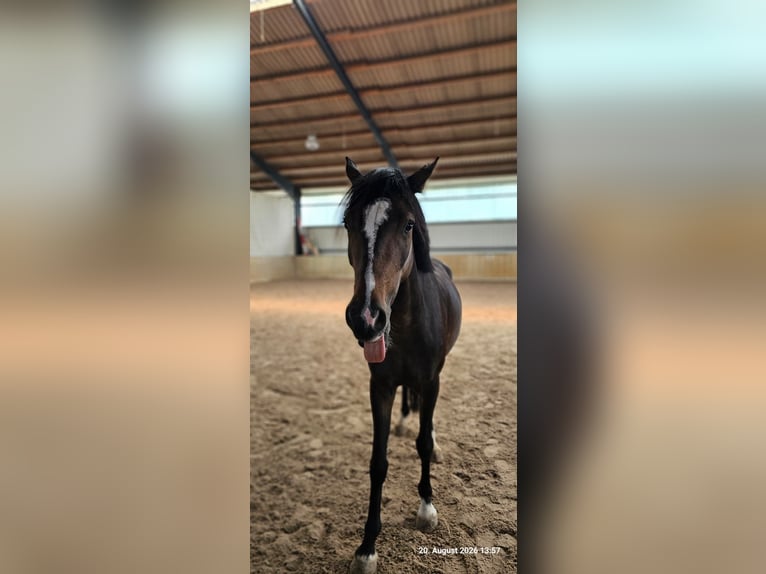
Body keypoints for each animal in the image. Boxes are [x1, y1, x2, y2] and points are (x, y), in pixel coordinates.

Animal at [341, 157, 462, 574]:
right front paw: (367, 547)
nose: (366, 318)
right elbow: (378, 463)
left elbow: (423, 443)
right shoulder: (379, 387)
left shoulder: (432, 380)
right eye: (348, 223)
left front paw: (426, 509)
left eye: (409, 225)